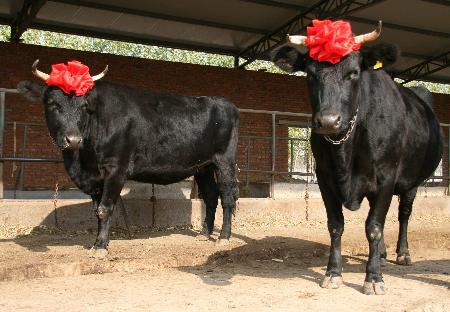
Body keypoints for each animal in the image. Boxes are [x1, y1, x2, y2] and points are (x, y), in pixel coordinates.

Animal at [18, 60, 239, 256]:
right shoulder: (95, 178)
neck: (81, 162)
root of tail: (225, 103)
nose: (73, 140)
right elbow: (97, 211)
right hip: (203, 166)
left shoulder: (116, 169)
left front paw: (100, 247)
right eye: (52, 104)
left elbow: (105, 209)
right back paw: (205, 233)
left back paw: (223, 237)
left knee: (227, 197)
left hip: (224, 161)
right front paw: (98, 243)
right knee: (210, 196)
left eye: (84, 106)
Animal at [270, 20, 442, 294]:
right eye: (310, 74)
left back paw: (402, 254)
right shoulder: (324, 178)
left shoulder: (386, 177)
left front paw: (373, 278)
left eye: (353, 73)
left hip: (412, 182)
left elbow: (373, 227)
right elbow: (336, 225)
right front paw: (333, 273)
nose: (328, 121)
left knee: (403, 214)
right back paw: (382, 254)